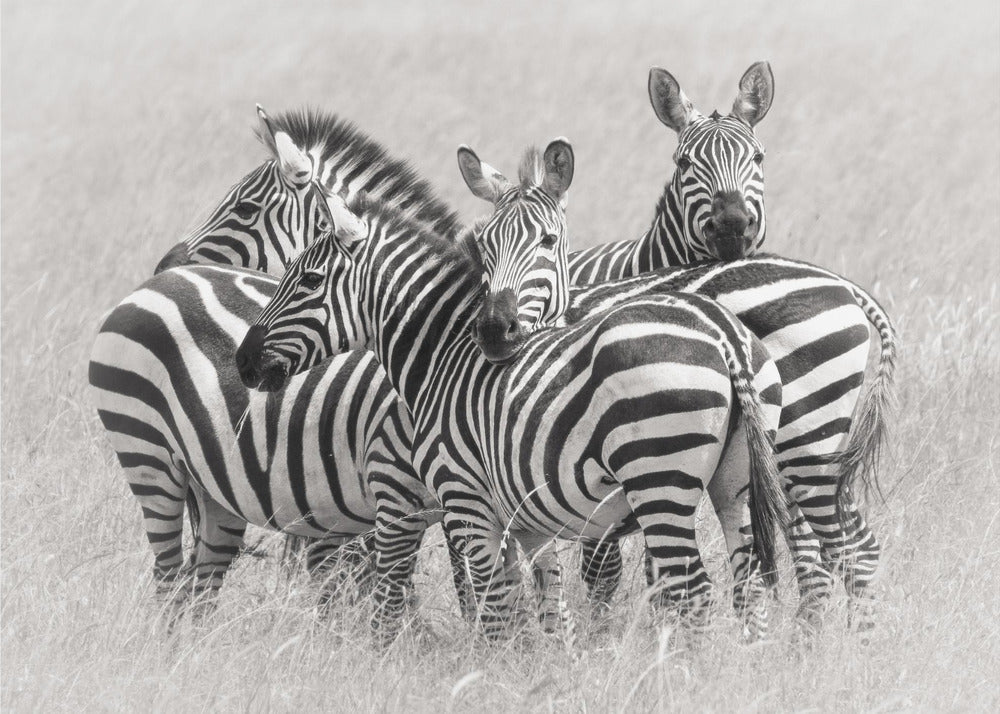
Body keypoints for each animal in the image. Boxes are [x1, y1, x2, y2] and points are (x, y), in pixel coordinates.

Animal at [235, 187, 788, 642]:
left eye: (308, 280)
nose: (242, 361)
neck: (442, 357)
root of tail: (724, 334)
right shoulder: (526, 519)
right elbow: (545, 611)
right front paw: (548, 676)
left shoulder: (467, 502)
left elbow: (496, 611)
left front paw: (493, 676)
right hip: (735, 484)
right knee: (749, 587)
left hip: (659, 480)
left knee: (693, 593)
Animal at [456, 130, 896, 630]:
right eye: (483, 247)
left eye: (548, 242)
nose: (496, 329)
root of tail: (843, 285)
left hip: (807, 443)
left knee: (846, 548)